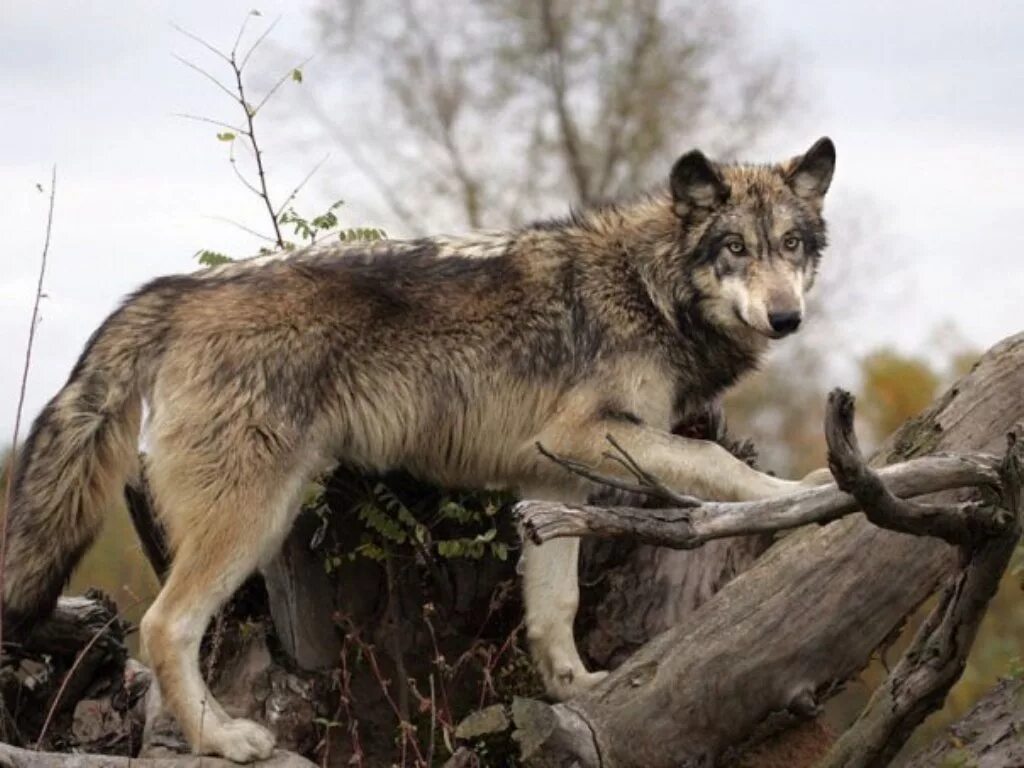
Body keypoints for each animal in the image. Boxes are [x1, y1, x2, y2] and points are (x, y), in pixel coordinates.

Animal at [4, 137, 835, 757]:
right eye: (735, 248)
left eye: (792, 245)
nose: (787, 318)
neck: (646, 283)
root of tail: (177, 291)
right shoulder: (585, 435)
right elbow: (715, 462)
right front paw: (804, 492)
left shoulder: (556, 480)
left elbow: (554, 608)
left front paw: (583, 696)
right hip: (251, 521)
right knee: (163, 627)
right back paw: (226, 739)